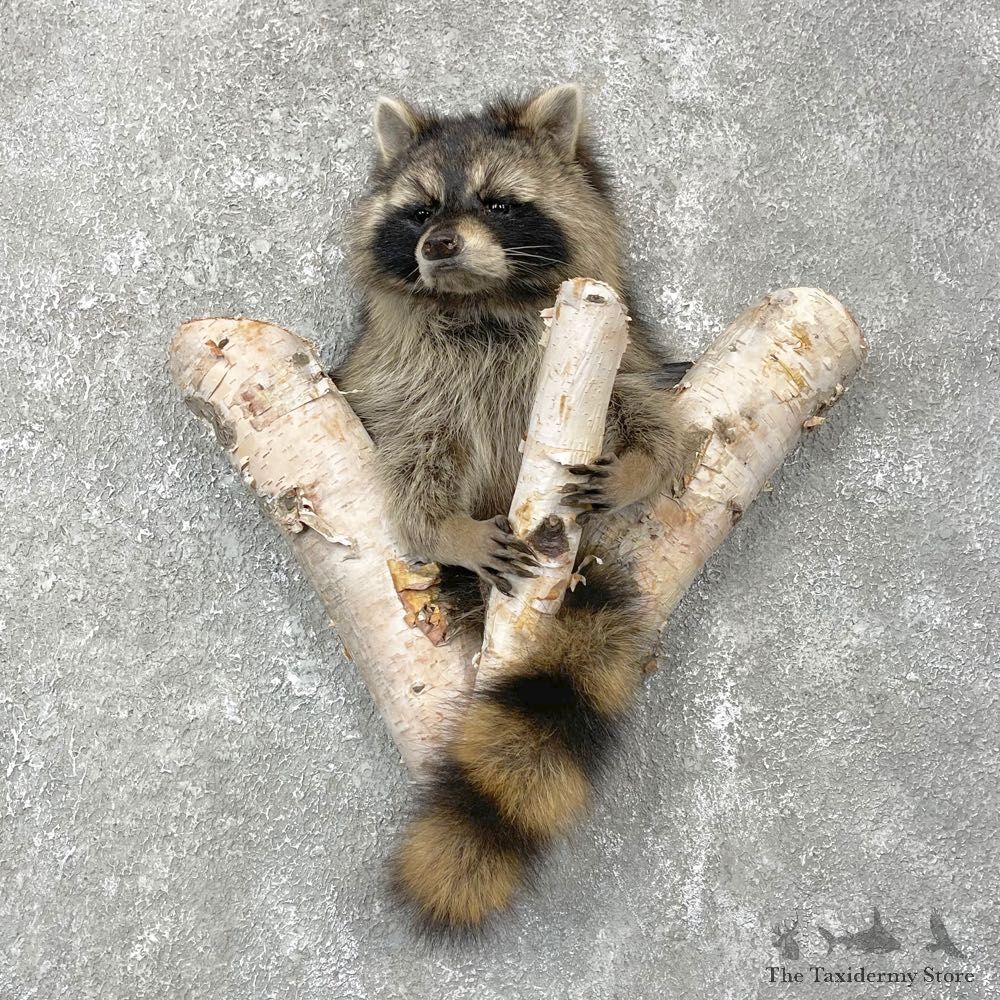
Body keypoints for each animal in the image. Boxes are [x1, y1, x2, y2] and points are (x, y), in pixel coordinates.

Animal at [335, 83, 694, 932]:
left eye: (498, 203)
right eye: (419, 211)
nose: (438, 245)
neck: (485, 301)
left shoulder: (621, 348)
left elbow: (655, 418)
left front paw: (641, 465)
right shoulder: (402, 380)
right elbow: (411, 463)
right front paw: (447, 530)